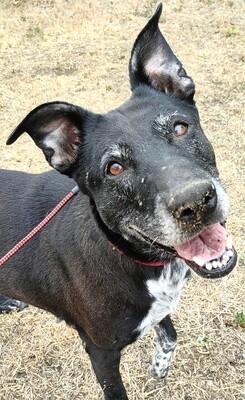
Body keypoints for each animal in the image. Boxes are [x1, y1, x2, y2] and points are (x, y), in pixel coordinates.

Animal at [0, 3, 237, 400]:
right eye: (114, 168)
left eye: (180, 128)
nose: (196, 202)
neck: (131, 256)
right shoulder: (101, 350)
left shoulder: (160, 306)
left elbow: (169, 333)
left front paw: (159, 367)